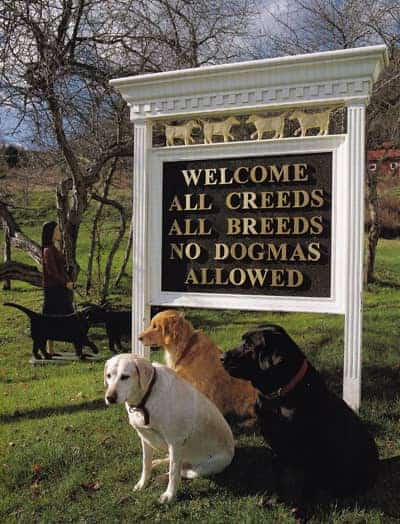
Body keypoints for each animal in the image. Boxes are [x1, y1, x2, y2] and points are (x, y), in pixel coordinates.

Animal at [220, 326, 380, 516]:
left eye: (249, 345)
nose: (222, 357)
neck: (278, 396)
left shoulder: (310, 450)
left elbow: (306, 485)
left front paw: (302, 510)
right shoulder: (277, 446)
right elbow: (279, 477)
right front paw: (275, 500)